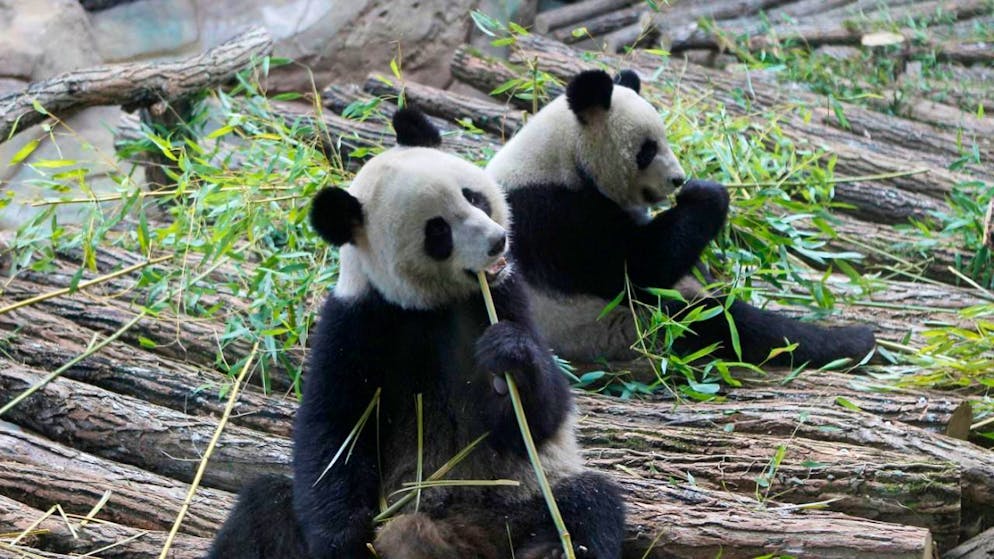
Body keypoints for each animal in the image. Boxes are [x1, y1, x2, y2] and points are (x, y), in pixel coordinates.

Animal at [206, 108, 625, 559]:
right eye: (437, 231)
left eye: (473, 197)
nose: (497, 242)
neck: (430, 305)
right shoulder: (356, 324)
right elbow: (334, 435)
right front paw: (344, 543)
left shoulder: (504, 297)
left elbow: (538, 418)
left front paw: (509, 355)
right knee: (263, 505)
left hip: (520, 506)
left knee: (588, 504)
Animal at [487, 69, 876, 367]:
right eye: (647, 150)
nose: (678, 179)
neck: (563, 155)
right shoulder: (554, 216)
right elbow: (636, 268)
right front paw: (707, 193)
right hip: (620, 327)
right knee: (722, 323)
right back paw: (852, 342)